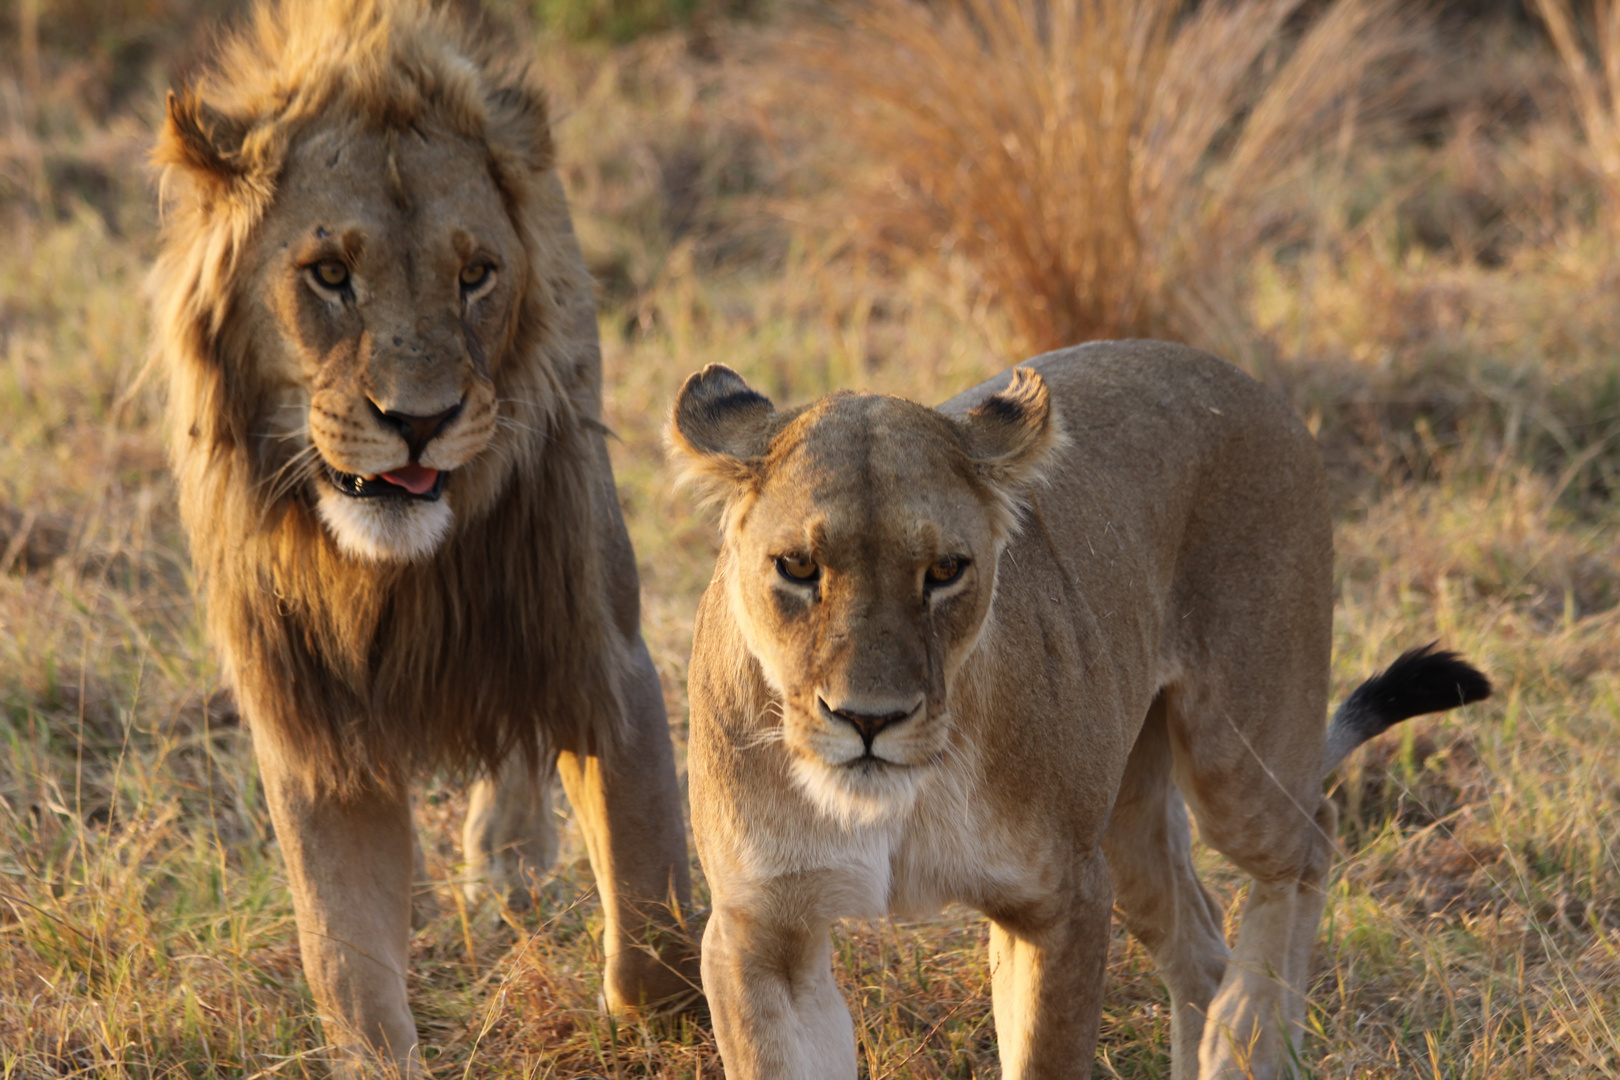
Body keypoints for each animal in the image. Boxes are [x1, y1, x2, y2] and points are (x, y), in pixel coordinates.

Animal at [145, 0, 690, 1068]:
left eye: (476, 275)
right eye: (328, 275)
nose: (420, 420)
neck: (387, 569)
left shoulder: (600, 652)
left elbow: (652, 911)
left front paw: (663, 1016)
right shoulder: (313, 726)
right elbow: (345, 963)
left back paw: (510, 861)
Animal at [670, 344, 1490, 1080]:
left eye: (946, 571)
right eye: (797, 568)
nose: (869, 720)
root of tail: (1244, 381)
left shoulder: (1061, 902)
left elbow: (1047, 1058)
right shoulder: (760, 930)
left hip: (1234, 760)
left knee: (1311, 837)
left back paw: (1250, 1038)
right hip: (1127, 819)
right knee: (1199, 943)